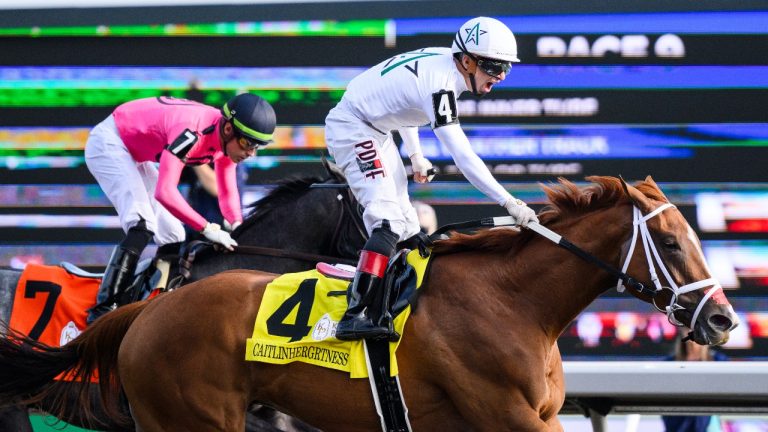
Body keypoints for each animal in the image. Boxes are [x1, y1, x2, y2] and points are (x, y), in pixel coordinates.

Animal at [0, 176, 736, 432]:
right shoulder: (507, 415)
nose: (722, 319)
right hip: (197, 420)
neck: (514, 302)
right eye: (673, 242)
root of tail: (146, 312)